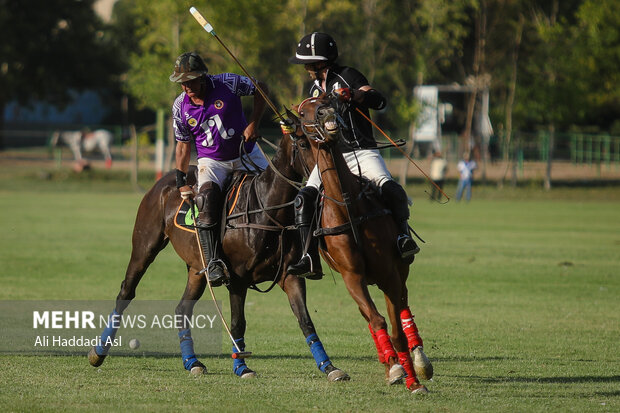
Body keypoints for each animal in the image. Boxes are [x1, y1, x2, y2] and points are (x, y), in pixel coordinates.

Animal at [87, 132, 348, 380]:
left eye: (327, 145)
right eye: (303, 144)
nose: (325, 178)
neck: (267, 210)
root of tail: (164, 180)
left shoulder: (291, 276)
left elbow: (305, 320)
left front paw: (329, 367)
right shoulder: (238, 280)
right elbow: (237, 323)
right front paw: (242, 367)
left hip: (197, 267)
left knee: (182, 309)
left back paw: (192, 362)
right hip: (145, 246)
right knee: (126, 292)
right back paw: (98, 352)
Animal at [294, 95, 434, 394]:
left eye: (327, 99)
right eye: (302, 112)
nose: (326, 113)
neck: (347, 205)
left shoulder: (389, 274)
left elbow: (396, 330)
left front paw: (414, 381)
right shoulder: (353, 276)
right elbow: (376, 319)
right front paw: (394, 369)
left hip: (400, 271)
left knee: (403, 307)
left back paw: (419, 361)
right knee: (370, 316)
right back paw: (391, 365)